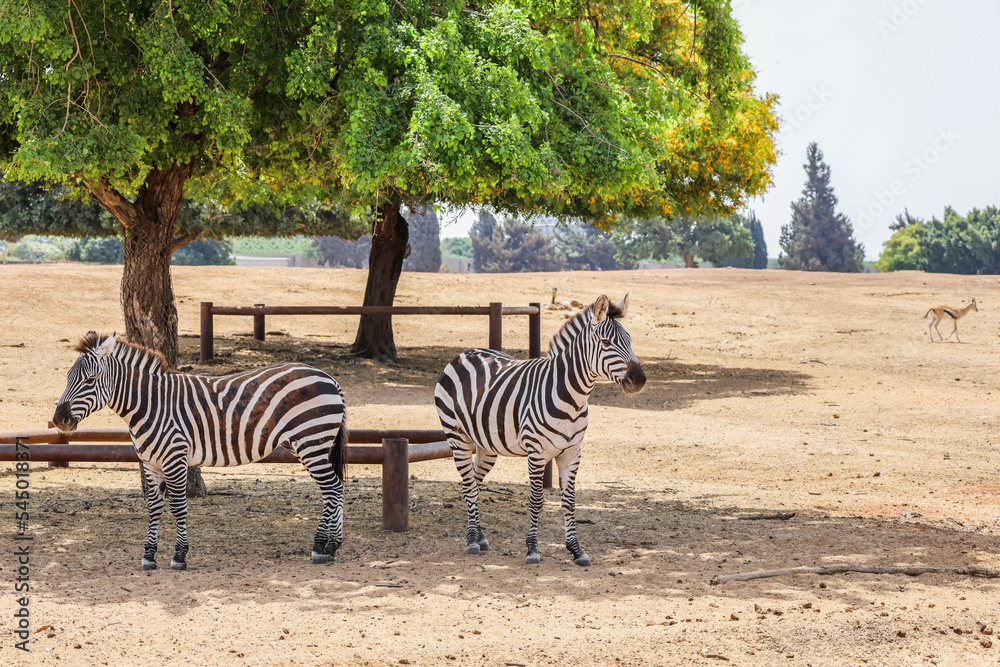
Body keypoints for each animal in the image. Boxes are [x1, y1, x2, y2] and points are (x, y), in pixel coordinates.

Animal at [51, 332, 348, 572]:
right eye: (67, 378)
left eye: (90, 380)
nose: (59, 421)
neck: (150, 404)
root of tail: (329, 377)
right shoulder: (150, 463)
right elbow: (154, 508)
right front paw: (149, 556)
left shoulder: (175, 458)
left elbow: (178, 507)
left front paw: (179, 556)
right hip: (309, 444)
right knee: (336, 488)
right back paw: (332, 546)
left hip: (312, 441)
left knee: (332, 488)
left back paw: (322, 548)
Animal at [434, 294, 644, 568]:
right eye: (607, 342)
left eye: (630, 340)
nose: (640, 379)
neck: (572, 396)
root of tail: (464, 353)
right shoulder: (537, 452)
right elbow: (536, 500)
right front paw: (532, 549)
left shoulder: (572, 452)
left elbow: (569, 501)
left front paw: (576, 550)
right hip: (457, 437)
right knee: (469, 486)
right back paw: (471, 541)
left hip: (486, 445)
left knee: (474, 486)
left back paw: (480, 537)